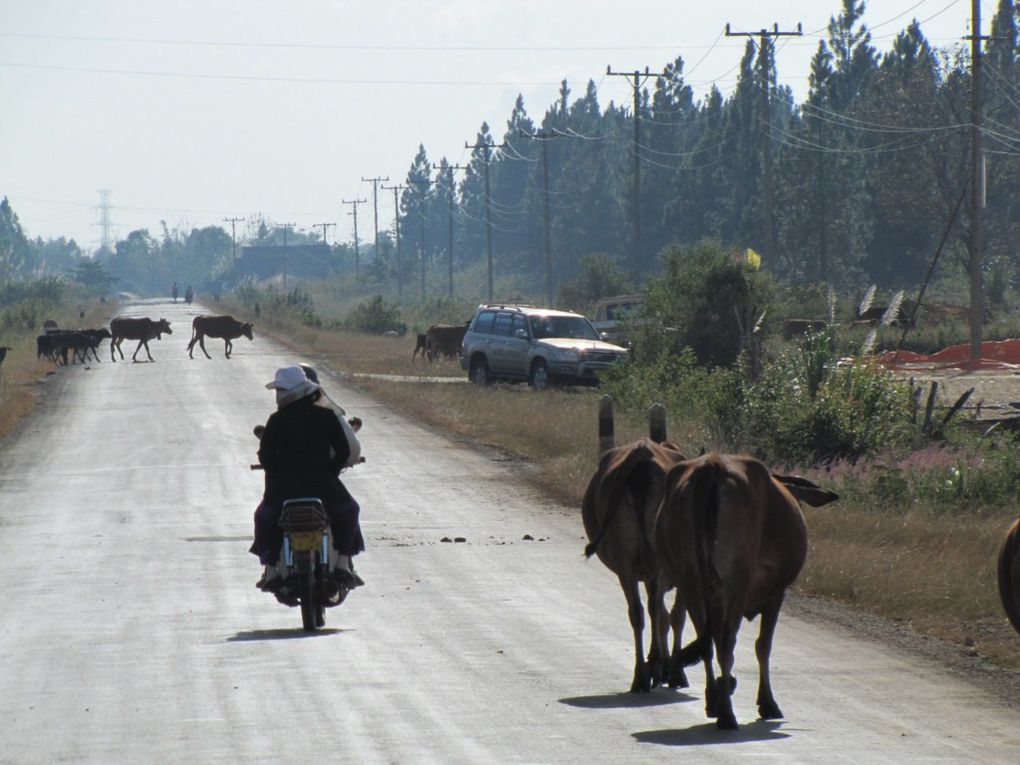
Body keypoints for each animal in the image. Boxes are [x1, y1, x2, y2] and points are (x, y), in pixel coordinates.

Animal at [583, 436, 693, 693]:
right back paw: (656, 667)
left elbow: (663, 616)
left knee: (638, 612)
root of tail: (642, 455)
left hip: (626, 562)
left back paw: (642, 674)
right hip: (656, 561)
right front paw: (674, 669)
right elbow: (675, 616)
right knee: (656, 610)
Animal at [656, 454, 840, 730]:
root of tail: (714, 464)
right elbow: (763, 646)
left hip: (691, 581)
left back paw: (714, 699)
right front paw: (767, 703)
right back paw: (727, 714)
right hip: (735, 583)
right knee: (726, 643)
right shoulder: (775, 594)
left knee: (707, 641)